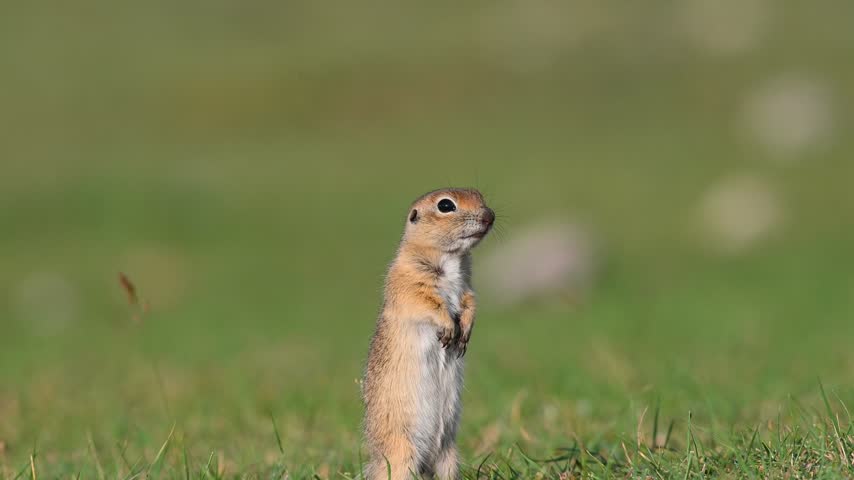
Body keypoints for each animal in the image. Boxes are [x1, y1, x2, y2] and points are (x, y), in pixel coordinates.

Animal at [362, 188, 495, 480]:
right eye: (445, 205)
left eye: (480, 195)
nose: (489, 216)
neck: (453, 259)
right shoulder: (408, 282)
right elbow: (426, 303)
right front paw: (448, 329)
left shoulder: (468, 288)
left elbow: (470, 303)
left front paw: (464, 332)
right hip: (403, 455)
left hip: (449, 455)